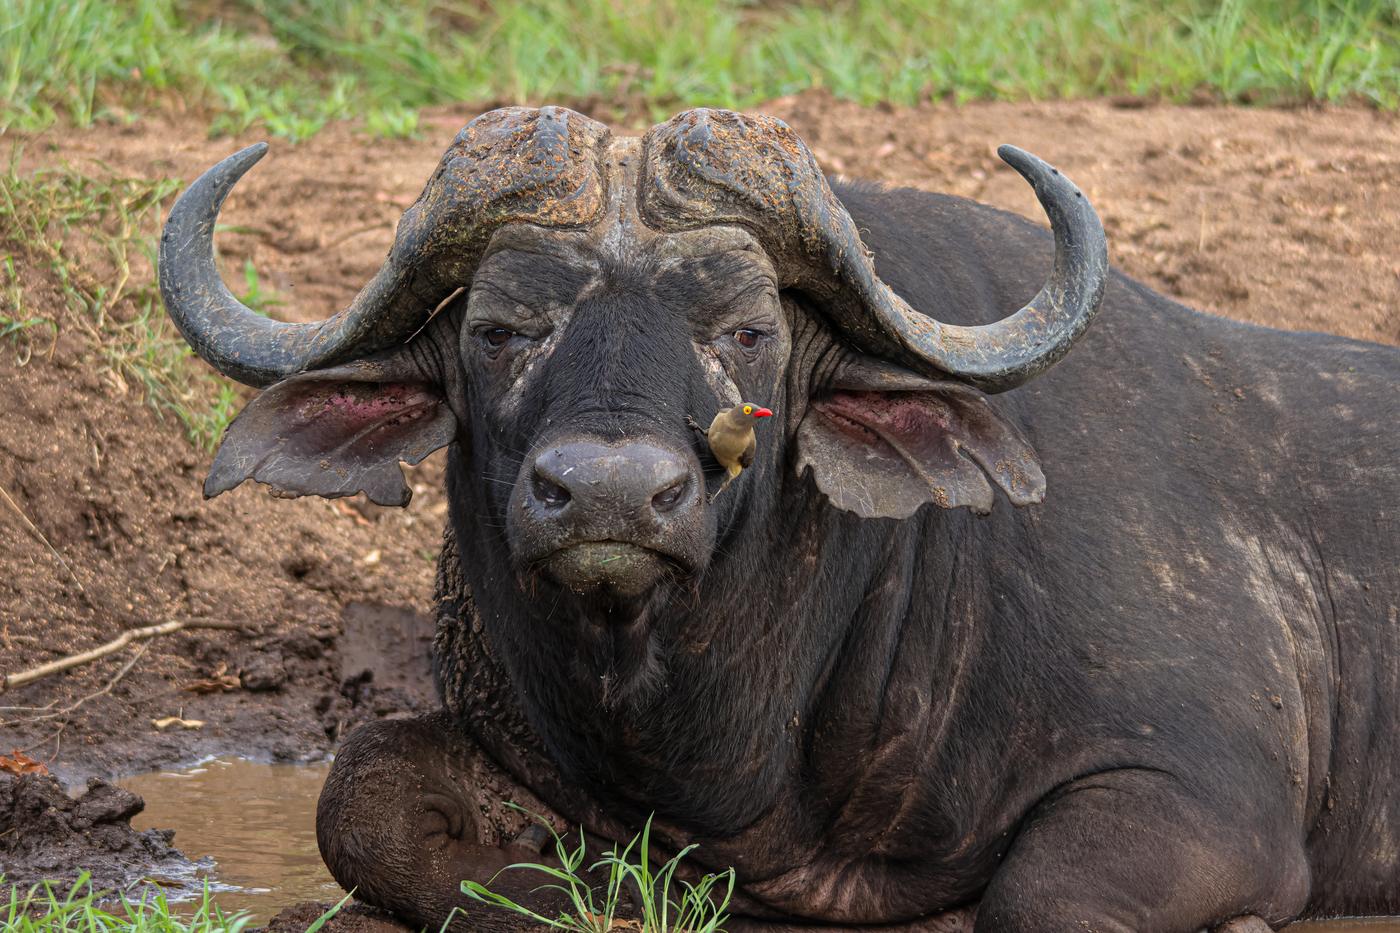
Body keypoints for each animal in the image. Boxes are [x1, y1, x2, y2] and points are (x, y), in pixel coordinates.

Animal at [159, 107, 1399, 931]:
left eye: (746, 330)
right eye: (498, 331)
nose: (608, 493)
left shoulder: (1204, 800)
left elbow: (1036, 899)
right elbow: (357, 792)